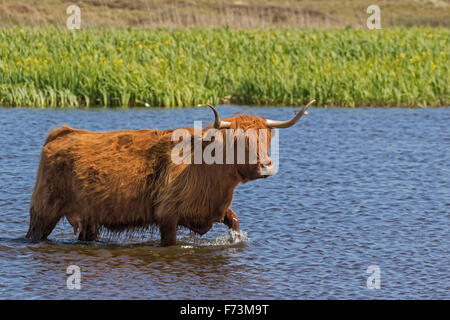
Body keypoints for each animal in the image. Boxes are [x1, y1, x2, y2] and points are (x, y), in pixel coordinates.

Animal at [24, 100, 312, 245]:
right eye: (238, 141)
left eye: (267, 137)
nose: (266, 165)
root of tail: (63, 133)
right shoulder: (167, 216)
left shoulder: (214, 210)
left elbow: (234, 223)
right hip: (44, 211)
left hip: (89, 218)